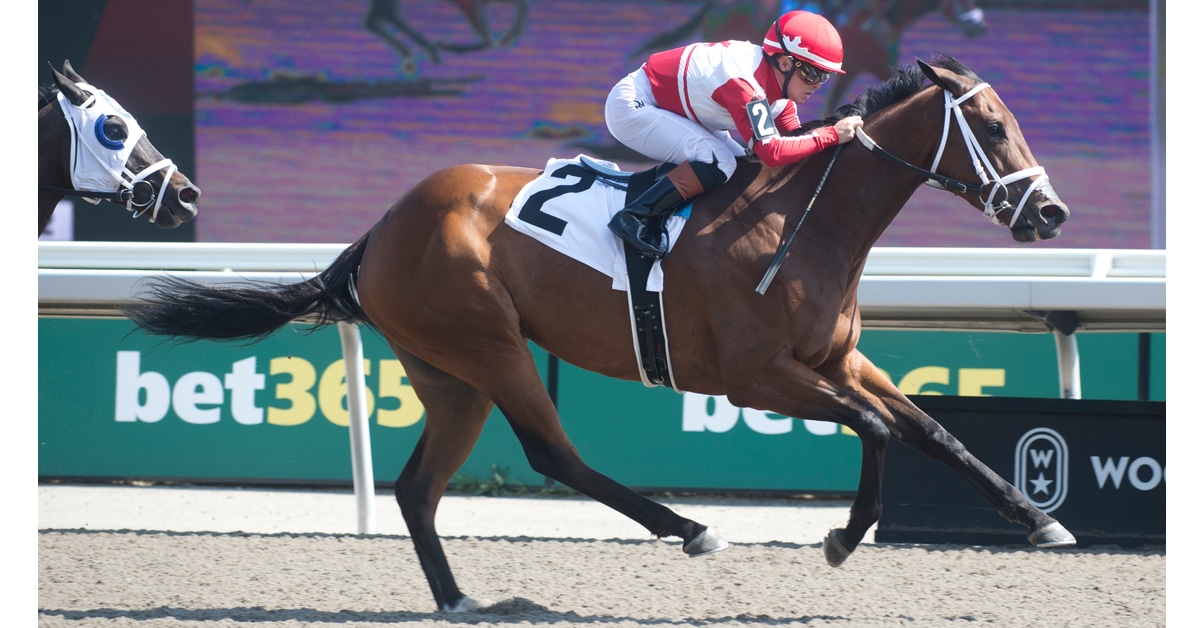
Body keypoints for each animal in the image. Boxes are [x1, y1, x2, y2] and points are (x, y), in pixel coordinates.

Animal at [123, 56, 1072, 612]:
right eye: (992, 127)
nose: (1050, 213)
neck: (803, 216)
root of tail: (381, 229)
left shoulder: (837, 359)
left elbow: (933, 429)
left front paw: (1036, 518)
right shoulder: (755, 376)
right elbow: (876, 427)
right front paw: (842, 537)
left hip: (447, 373)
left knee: (417, 488)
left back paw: (459, 600)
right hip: (491, 347)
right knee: (552, 454)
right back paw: (689, 528)